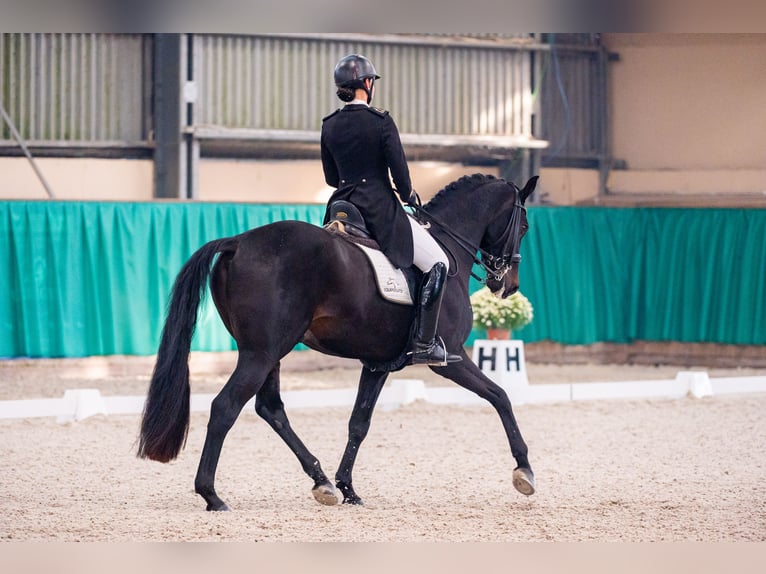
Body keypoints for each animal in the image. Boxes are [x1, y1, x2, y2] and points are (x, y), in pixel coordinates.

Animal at [136, 173, 540, 510]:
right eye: (523, 226)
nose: (507, 285)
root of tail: (237, 242)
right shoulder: (450, 357)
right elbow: (500, 396)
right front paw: (525, 471)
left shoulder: (377, 364)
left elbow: (358, 423)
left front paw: (348, 488)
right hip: (262, 353)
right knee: (226, 407)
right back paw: (212, 495)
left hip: (266, 352)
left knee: (270, 408)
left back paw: (322, 482)